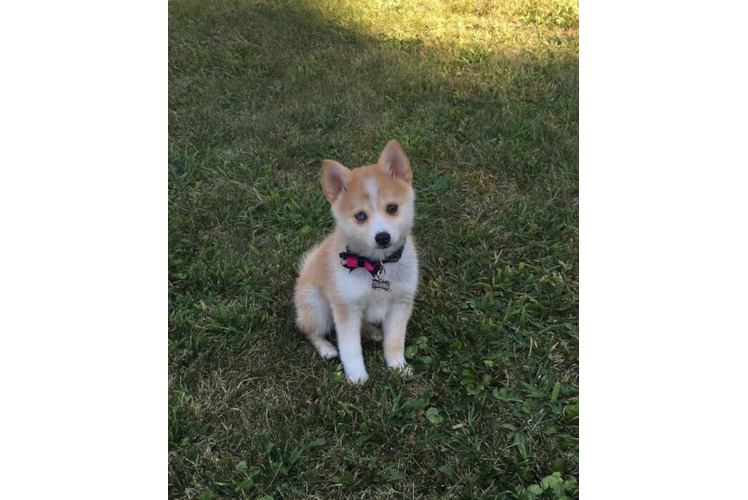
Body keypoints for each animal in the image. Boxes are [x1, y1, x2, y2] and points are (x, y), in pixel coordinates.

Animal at [294, 141, 420, 382]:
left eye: (392, 208)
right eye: (360, 216)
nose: (383, 237)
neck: (377, 266)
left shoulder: (400, 303)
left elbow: (395, 340)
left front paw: (398, 366)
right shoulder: (346, 306)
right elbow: (350, 348)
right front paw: (356, 376)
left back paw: (372, 332)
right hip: (317, 306)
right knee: (309, 330)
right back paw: (326, 348)